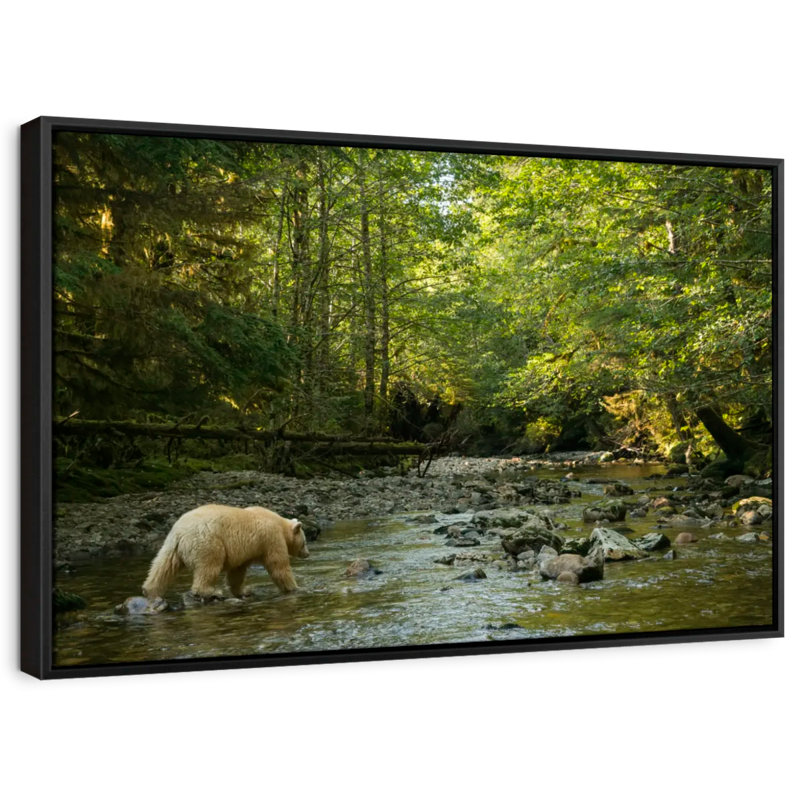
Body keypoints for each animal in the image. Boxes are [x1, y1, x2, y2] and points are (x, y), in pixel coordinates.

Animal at [142, 504, 309, 600]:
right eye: (305, 541)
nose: (308, 554)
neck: (280, 523)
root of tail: (179, 533)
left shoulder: (245, 551)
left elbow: (237, 571)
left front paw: (244, 590)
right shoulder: (271, 538)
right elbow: (278, 566)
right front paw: (295, 588)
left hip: (171, 547)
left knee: (162, 566)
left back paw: (150, 590)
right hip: (207, 542)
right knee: (209, 566)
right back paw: (211, 591)